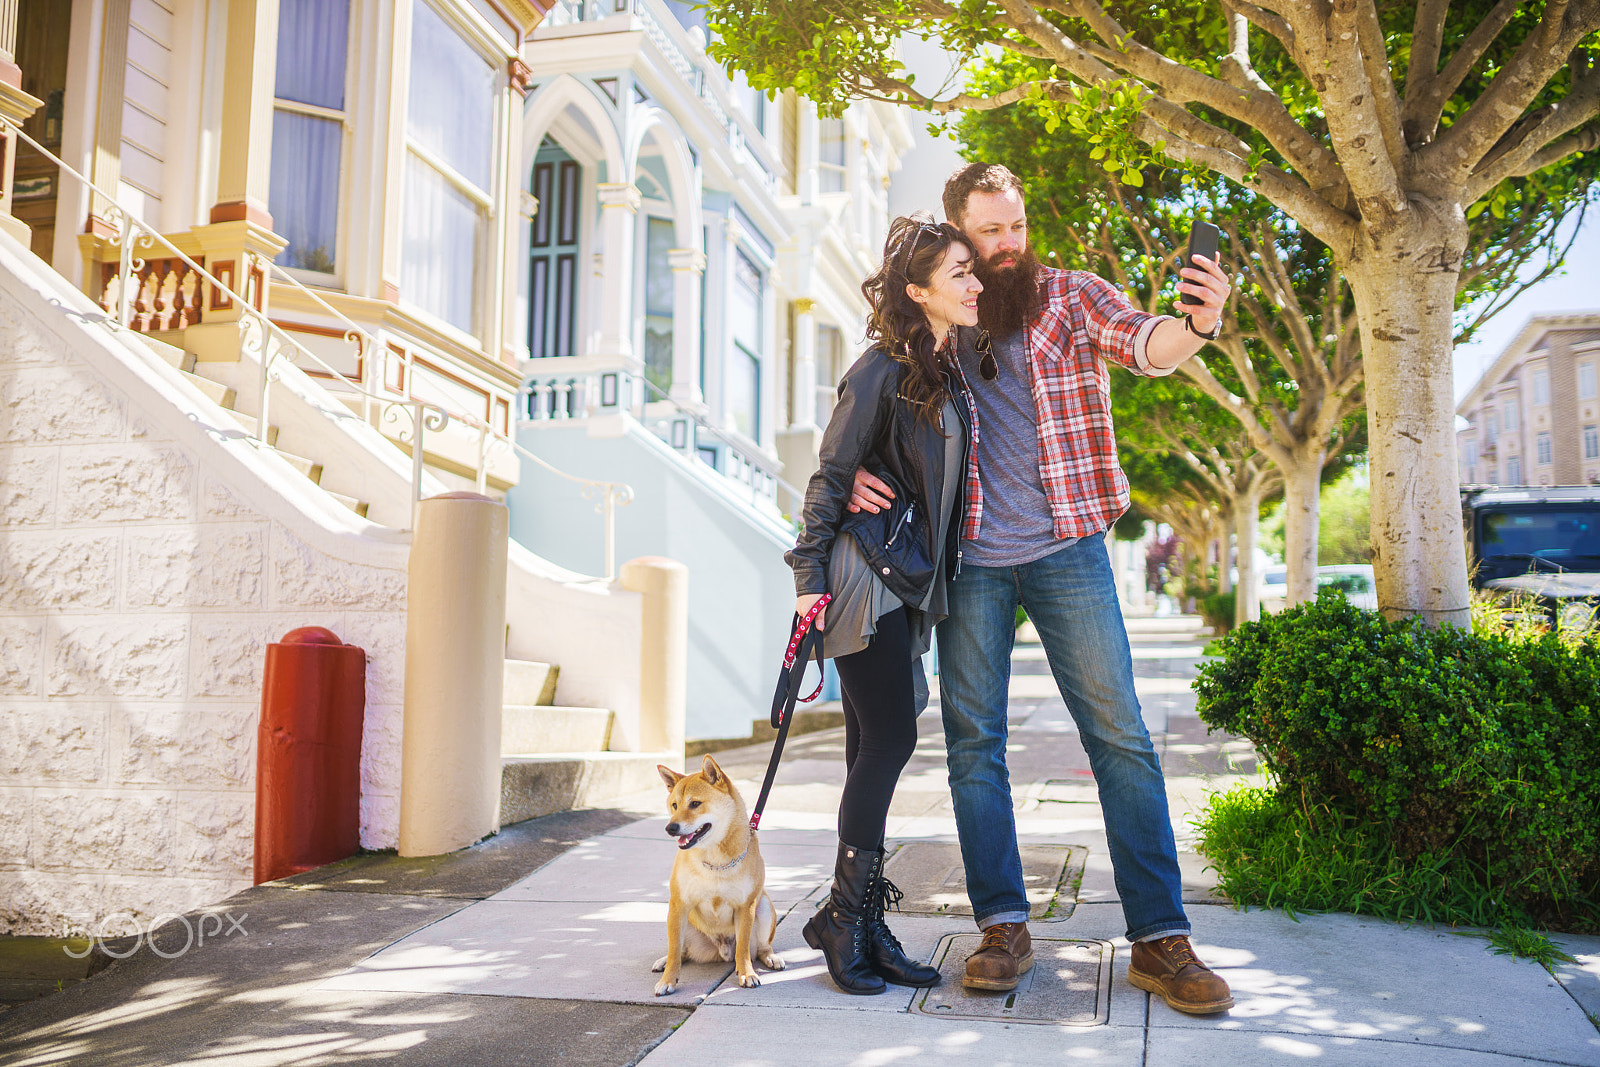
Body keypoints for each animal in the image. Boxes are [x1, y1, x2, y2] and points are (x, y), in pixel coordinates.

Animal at [652, 755, 784, 998]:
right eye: (674, 805)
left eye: (695, 804)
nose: (670, 827)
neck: (715, 860)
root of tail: (721, 949)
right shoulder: (678, 904)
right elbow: (674, 950)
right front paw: (668, 980)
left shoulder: (746, 907)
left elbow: (743, 949)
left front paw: (746, 974)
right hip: (681, 920)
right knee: (681, 951)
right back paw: (664, 961)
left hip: (763, 907)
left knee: (760, 948)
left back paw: (770, 957)